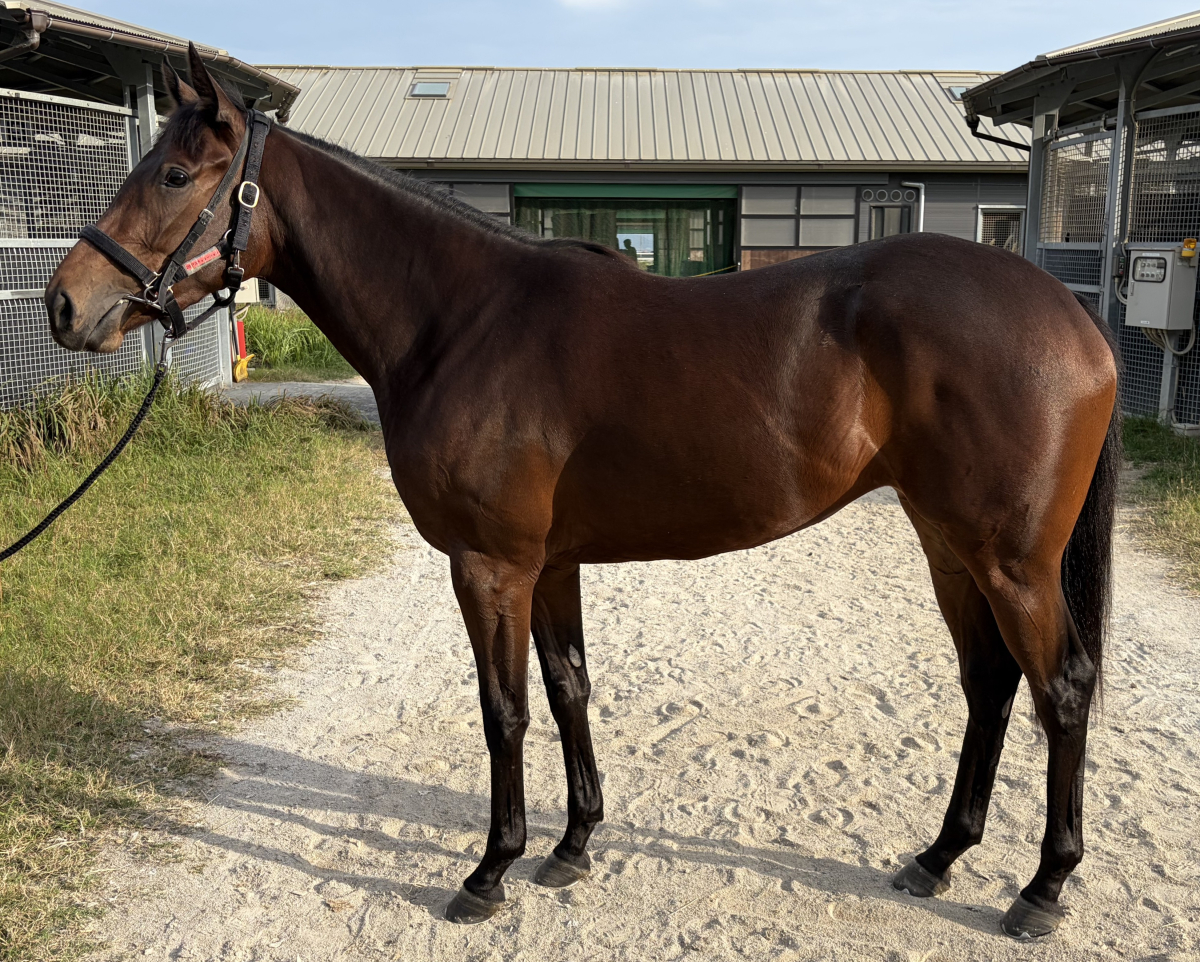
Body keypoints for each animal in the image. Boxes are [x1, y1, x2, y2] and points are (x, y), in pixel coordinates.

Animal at [46, 46, 1120, 937]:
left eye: (174, 175)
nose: (65, 305)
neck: (463, 321)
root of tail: (1074, 321)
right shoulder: (549, 563)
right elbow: (568, 691)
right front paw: (571, 846)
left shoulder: (489, 566)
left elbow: (503, 711)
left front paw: (490, 871)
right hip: (948, 545)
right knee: (989, 686)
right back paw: (939, 857)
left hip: (1011, 560)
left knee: (1061, 689)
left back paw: (1041, 889)